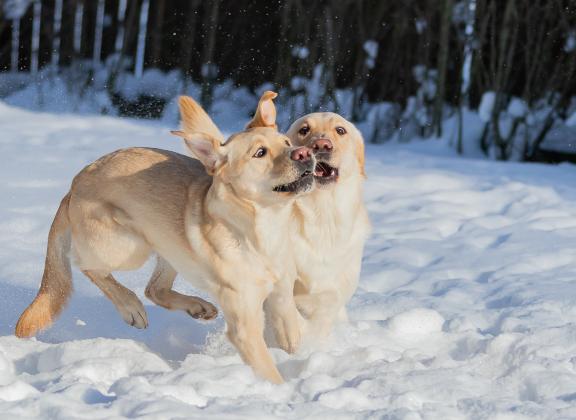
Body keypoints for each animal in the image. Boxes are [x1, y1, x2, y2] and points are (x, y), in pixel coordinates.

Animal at [15, 92, 316, 384]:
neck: (260, 228)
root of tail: (74, 185)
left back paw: (198, 307)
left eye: (287, 142)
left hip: (169, 246)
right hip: (128, 246)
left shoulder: (281, 292)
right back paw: (131, 307)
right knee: (89, 267)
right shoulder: (244, 324)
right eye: (260, 153)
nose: (303, 153)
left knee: (155, 289)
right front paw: (280, 390)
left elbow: (289, 326)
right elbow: (268, 370)